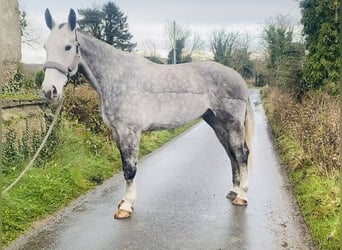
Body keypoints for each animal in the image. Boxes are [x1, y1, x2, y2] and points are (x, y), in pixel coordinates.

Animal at [41, 8, 252, 219]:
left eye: (68, 47)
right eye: (45, 46)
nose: (49, 90)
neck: (117, 77)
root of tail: (239, 78)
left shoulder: (129, 132)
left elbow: (130, 169)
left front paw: (126, 206)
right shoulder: (117, 133)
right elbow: (125, 166)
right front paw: (124, 202)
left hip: (232, 123)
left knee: (241, 154)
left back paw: (242, 196)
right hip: (216, 122)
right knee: (231, 154)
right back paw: (234, 191)